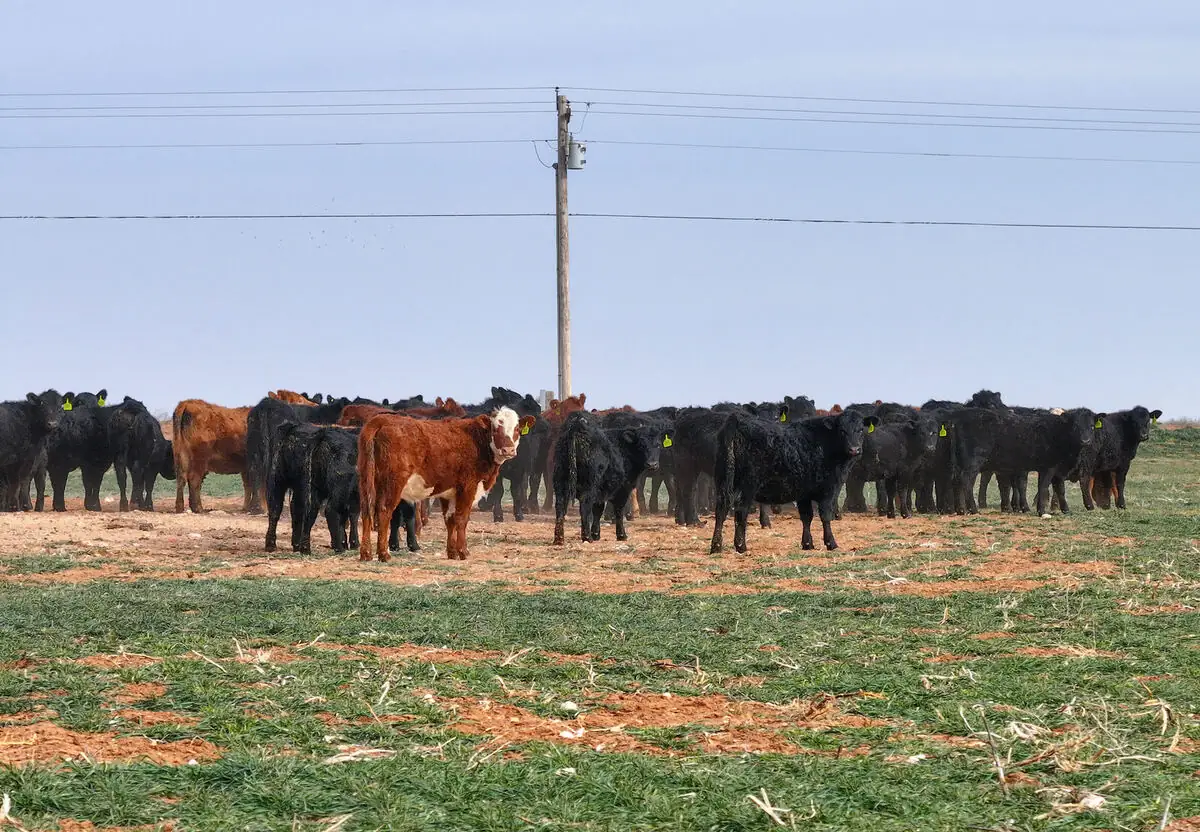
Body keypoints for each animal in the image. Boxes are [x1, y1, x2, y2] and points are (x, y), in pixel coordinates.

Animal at [357, 407, 535, 561]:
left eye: (517, 429)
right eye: (496, 429)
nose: (508, 450)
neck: (478, 441)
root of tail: (381, 420)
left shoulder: (448, 491)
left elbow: (450, 520)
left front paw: (452, 552)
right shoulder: (468, 486)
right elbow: (462, 519)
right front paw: (463, 551)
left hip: (367, 480)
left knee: (366, 510)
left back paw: (366, 554)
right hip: (393, 483)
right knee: (384, 511)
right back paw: (383, 554)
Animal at [553, 411, 669, 545]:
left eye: (658, 445)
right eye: (641, 445)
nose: (652, 464)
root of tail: (578, 428)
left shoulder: (602, 490)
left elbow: (598, 509)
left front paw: (596, 534)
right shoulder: (623, 489)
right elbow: (619, 510)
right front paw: (621, 535)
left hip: (560, 482)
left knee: (560, 507)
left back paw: (559, 539)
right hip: (589, 485)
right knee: (584, 506)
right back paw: (587, 537)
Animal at [710, 410, 878, 554]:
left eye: (860, 430)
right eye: (842, 431)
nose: (854, 449)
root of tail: (738, 419)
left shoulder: (803, 493)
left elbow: (806, 516)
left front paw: (807, 544)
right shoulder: (829, 489)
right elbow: (825, 515)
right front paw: (831, 543)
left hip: (723, 480)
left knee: (721, 509)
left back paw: (716, 546)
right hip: (747, 484)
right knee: (740, 511)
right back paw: (741, 546)